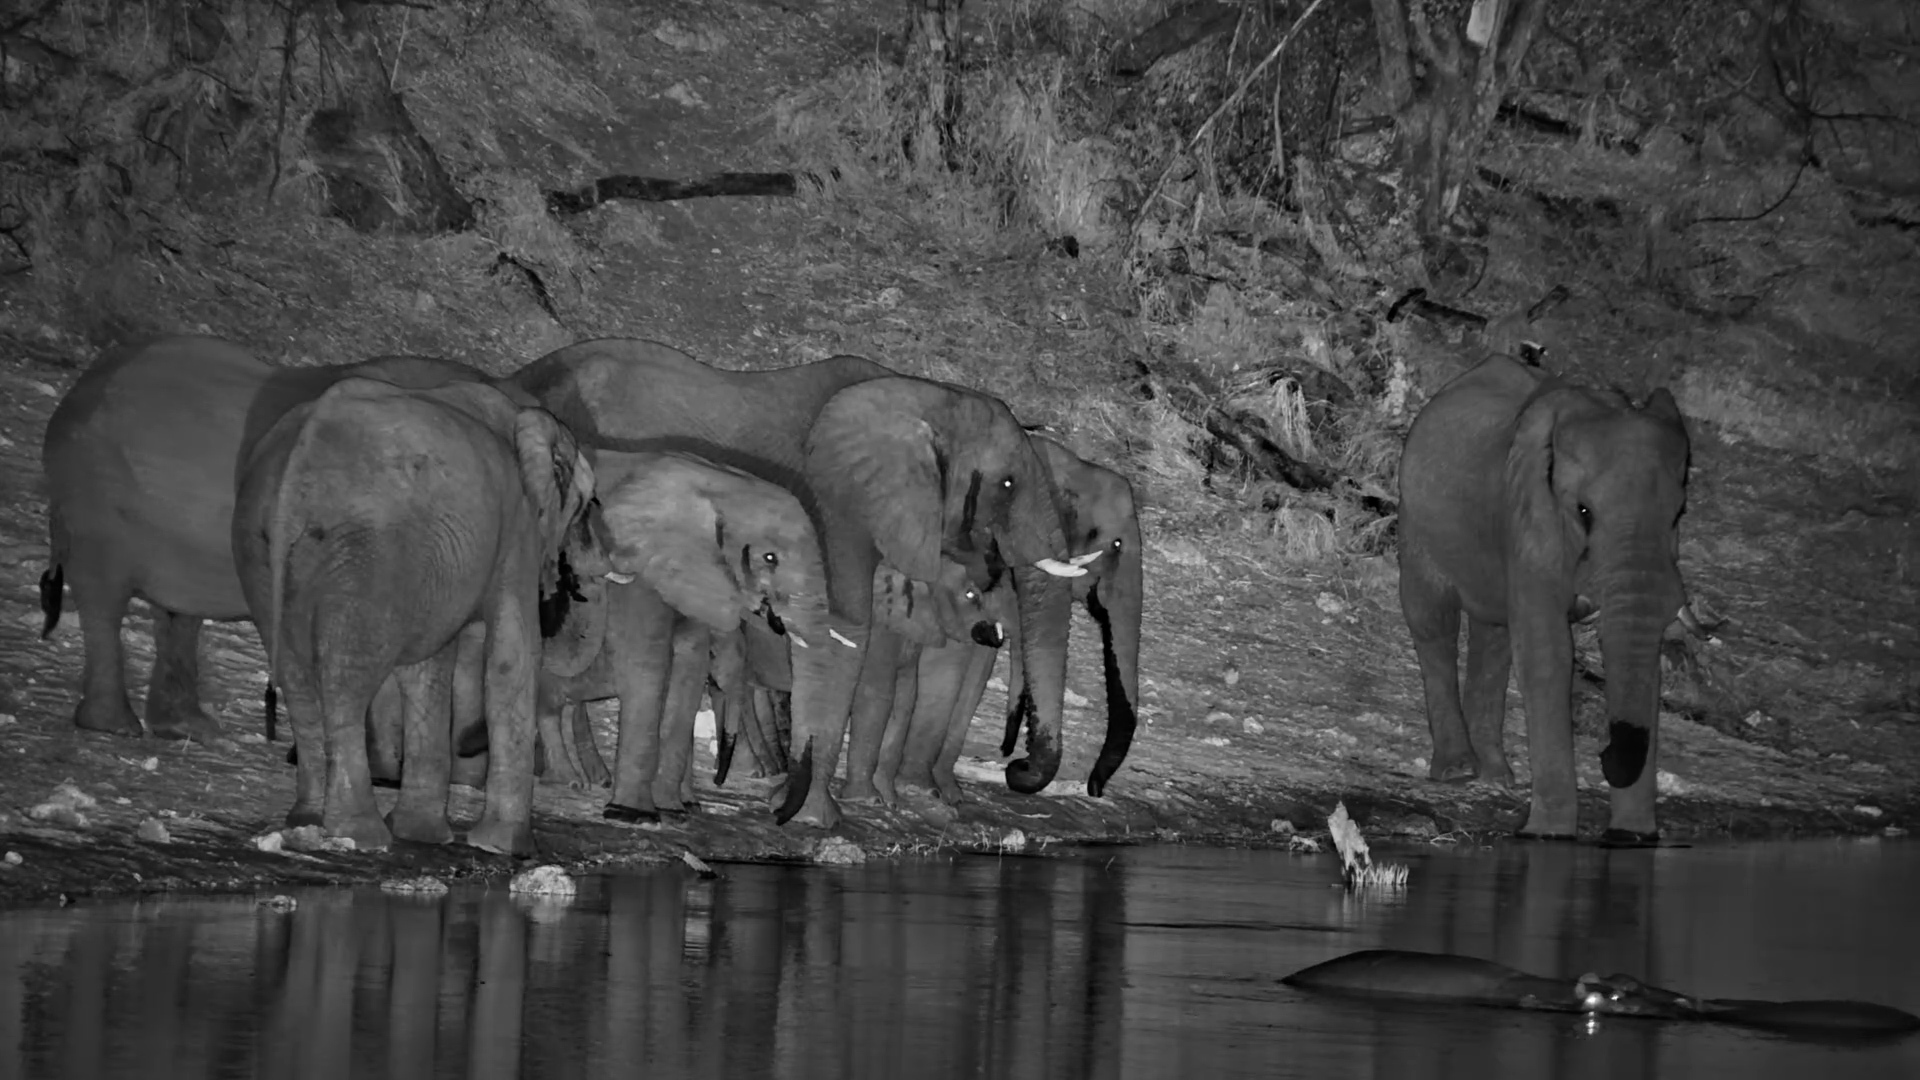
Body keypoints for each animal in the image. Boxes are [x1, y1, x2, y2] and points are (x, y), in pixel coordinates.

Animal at [39, 334, 525, 743]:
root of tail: (79, 388)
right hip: (94, 497)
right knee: (104, 596)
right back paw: (115, 726)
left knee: (176, 612)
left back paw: (187, 727)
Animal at [231, 376, 604, 854]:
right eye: (585, 506)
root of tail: (298, 460)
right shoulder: (517, 529)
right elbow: (512, 655)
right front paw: (506, 848)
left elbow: (428, 666)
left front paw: (422, 834)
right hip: (368, 551)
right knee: (346, 675)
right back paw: (359, 835)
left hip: (259, 545)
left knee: (298, 676)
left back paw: (310, 821)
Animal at [508, 338, 1094, 828]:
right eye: (1008, 484)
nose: (1017, 767)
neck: (919, 397)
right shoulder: (836, 505)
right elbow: (845, 632)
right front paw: (816, 818)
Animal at [1397, 354, 1690, 841]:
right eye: (1583, 511)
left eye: (1678, 516)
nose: (1605, 755)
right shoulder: (1527, 517)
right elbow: (1547, 650)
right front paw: (1548, 836)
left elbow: (1645, 665)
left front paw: (1632, 839)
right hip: (1417, 517)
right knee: (1434, 621)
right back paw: (1459, 772)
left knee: (1494, 636)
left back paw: (1497, 776)